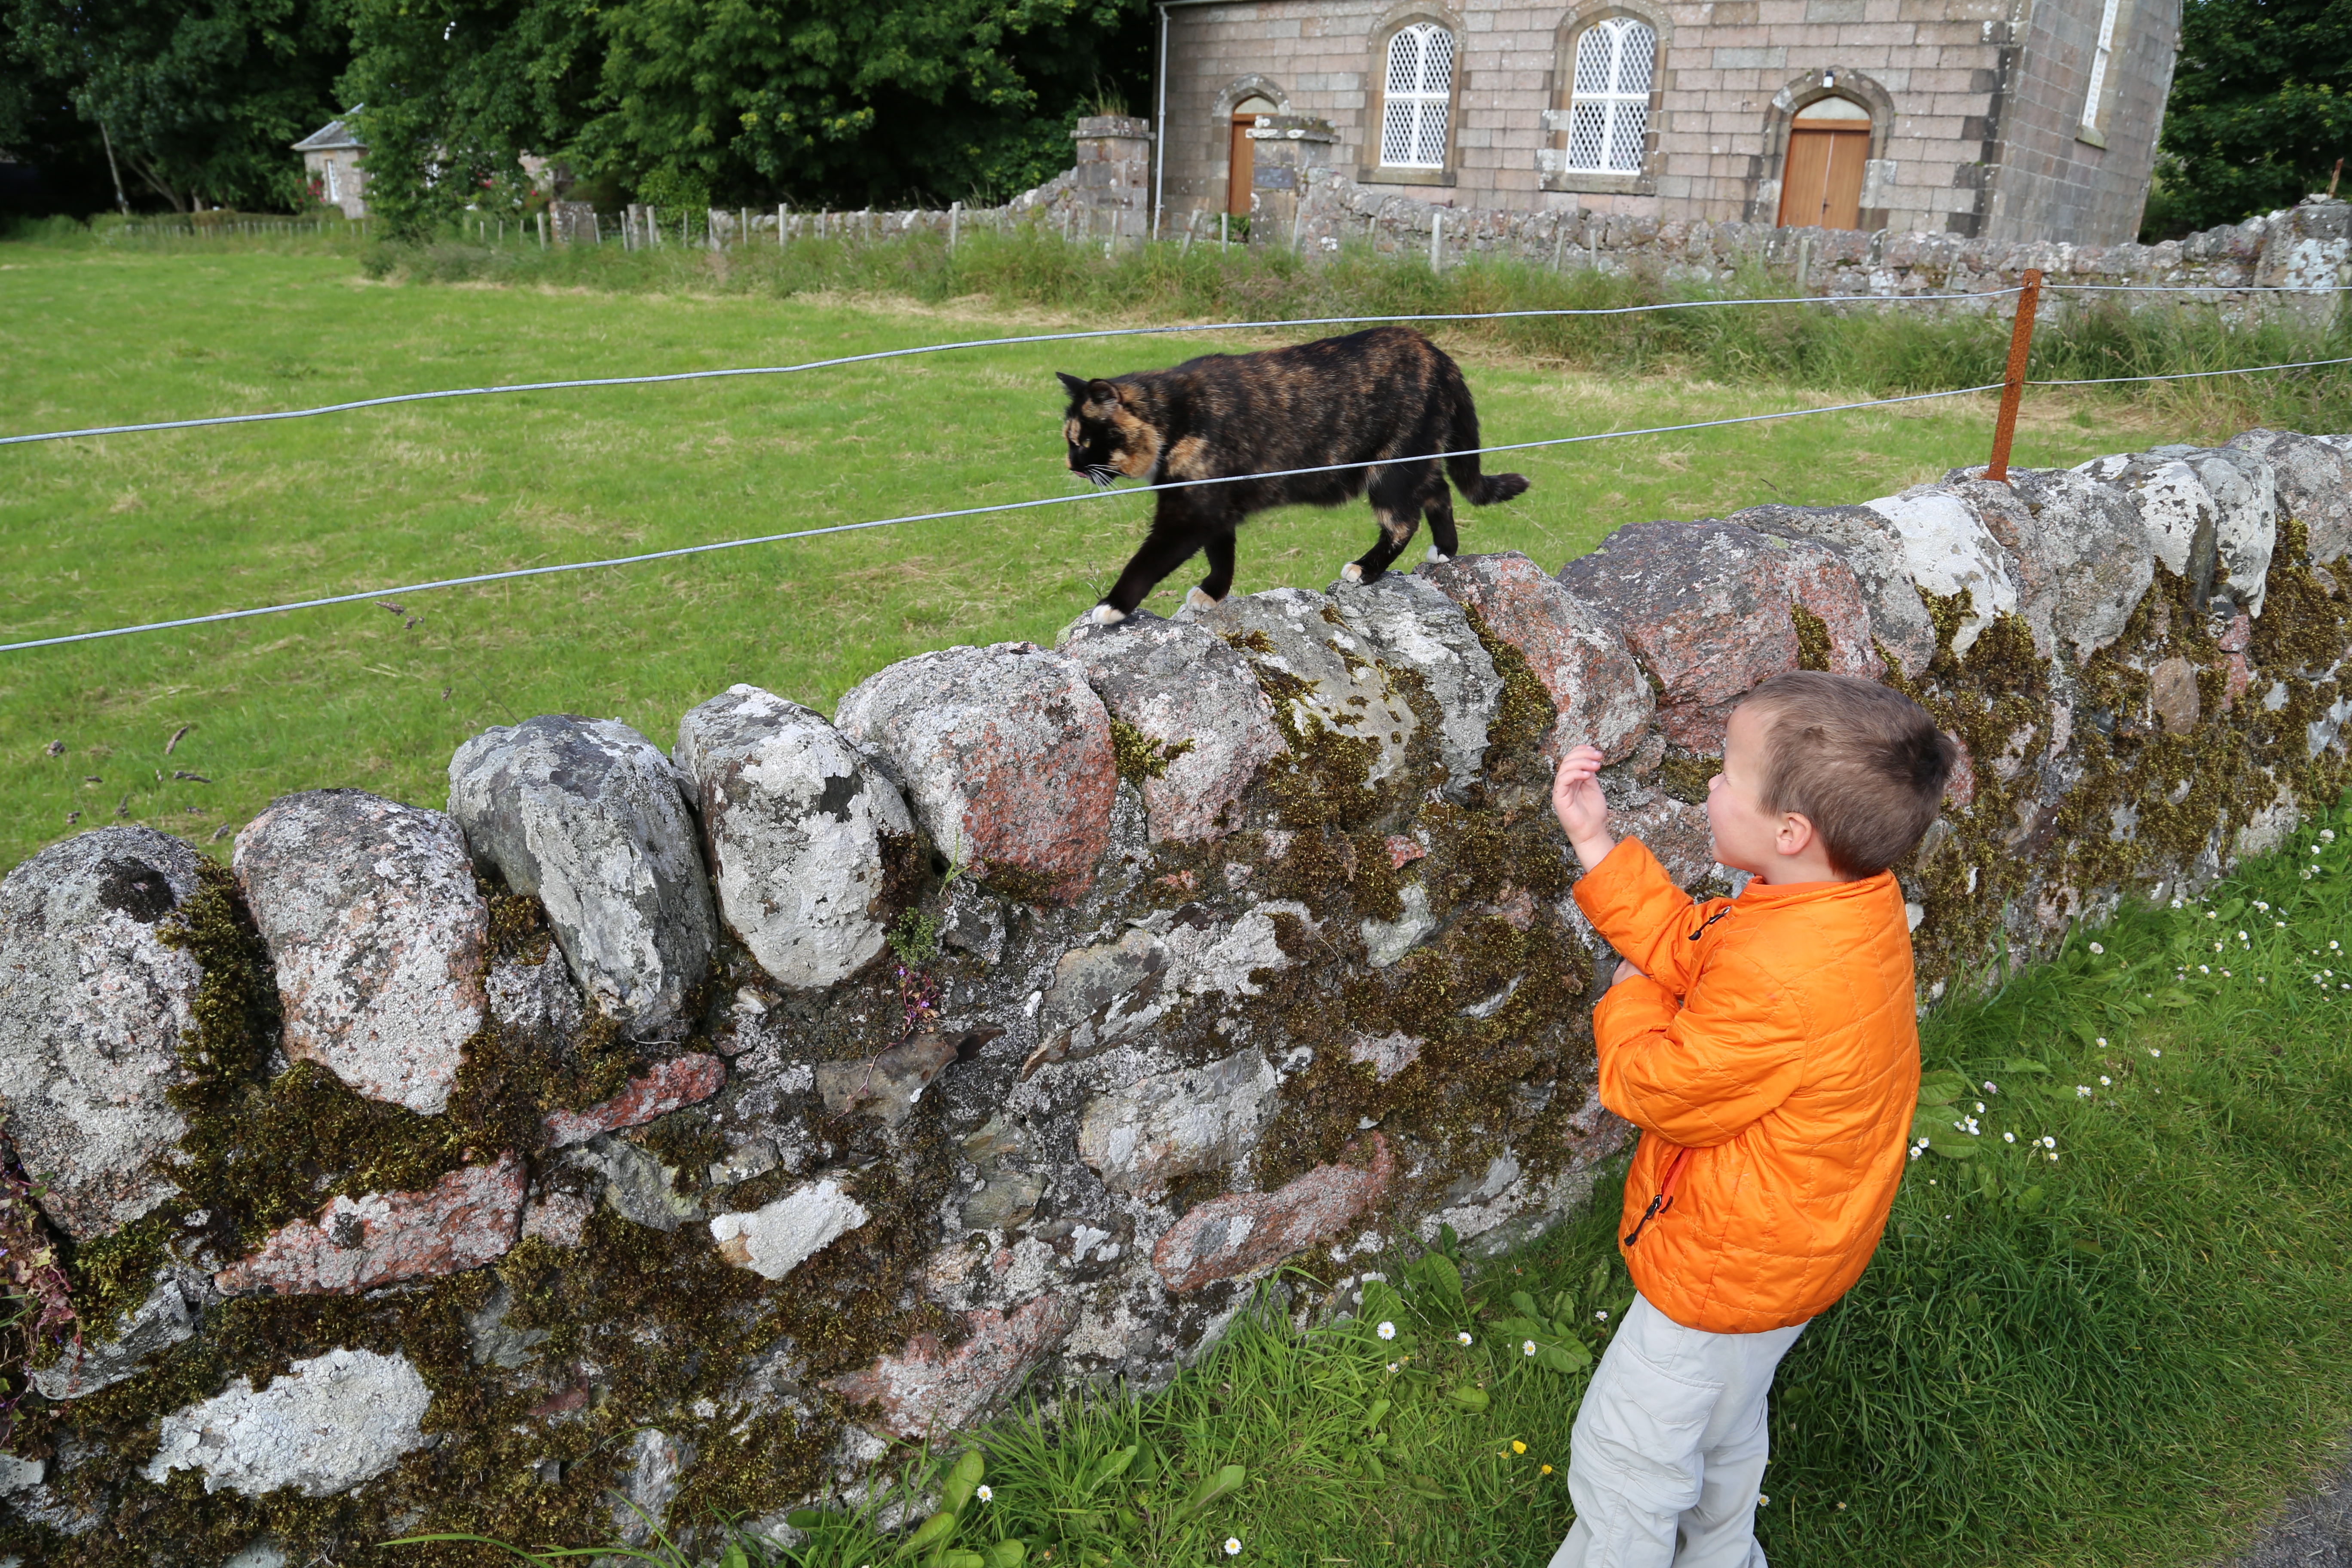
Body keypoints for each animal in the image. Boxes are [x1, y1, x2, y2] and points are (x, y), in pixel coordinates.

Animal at [1058, 327, 1533, 625]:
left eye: (1084, 440)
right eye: (1069, 439)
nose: (1071, 465)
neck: (1174, 416)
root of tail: (1435, 352)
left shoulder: (1191, 513)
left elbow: (1147, 561)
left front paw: (1112, 607)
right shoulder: (1217, 507)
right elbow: (1222, 554)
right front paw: (1214, 592)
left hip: (1390, 468)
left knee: (1404, 521)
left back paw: (1366, 569)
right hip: (1412, 459)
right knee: (1439, 491)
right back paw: (1445, 550)